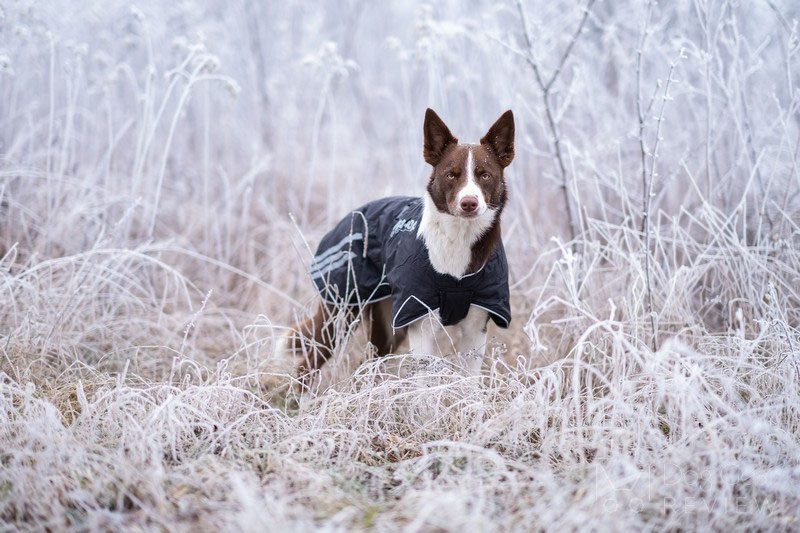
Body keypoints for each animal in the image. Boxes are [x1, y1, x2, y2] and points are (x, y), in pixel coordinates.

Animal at [268, 108, 516, 382]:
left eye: (485, 175)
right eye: (451, 175)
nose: (469, 203)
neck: (458, 241)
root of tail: (352, 214)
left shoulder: (476, 326)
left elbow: (470, 379)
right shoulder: (420, 320)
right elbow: (424, 379)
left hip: (388, 324)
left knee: (368, 361)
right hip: (342, 312)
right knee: (308, 365)